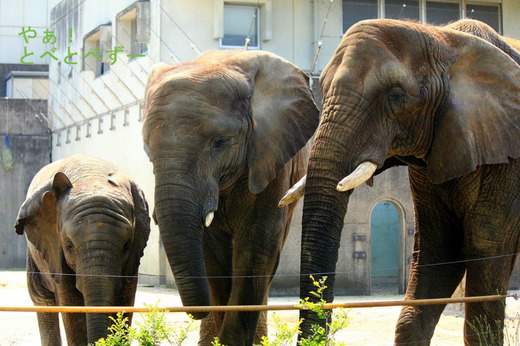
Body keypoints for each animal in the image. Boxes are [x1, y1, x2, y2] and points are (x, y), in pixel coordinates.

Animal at [13, 155, 150, 346]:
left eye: (126, 246)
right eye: (69, 245)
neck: (92, 178)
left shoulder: (133, 258)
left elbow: (124, 301)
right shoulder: (55, 250)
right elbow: (72, 305)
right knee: (42, 300)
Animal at [143, 50, 320, 344]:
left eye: (220, 142)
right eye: (147, 148)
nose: (197, 311)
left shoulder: (270, 154)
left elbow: (255, 245)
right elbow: (213, 254)